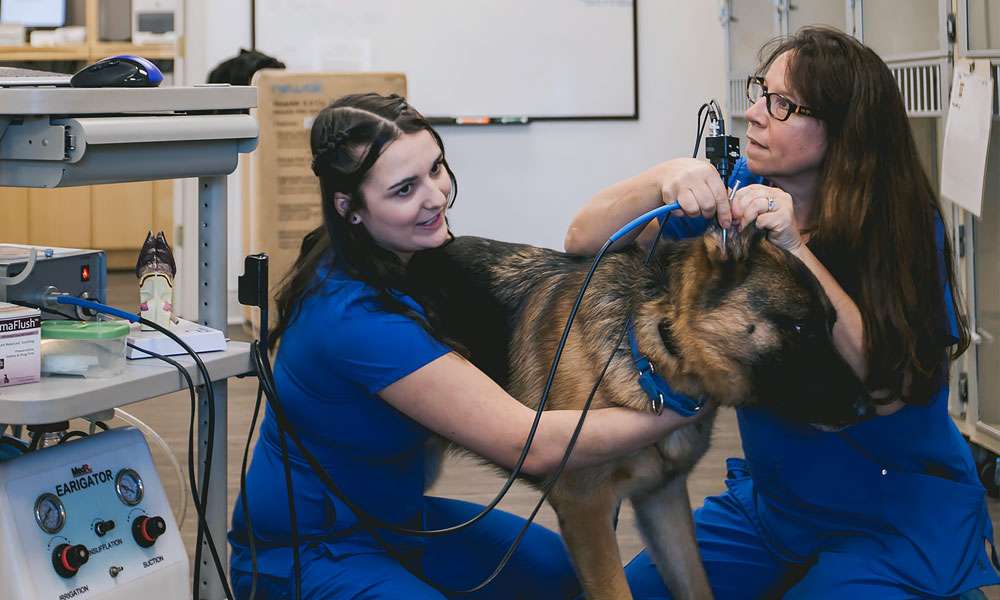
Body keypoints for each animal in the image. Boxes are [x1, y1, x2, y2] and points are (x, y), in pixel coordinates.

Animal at [410, 226, 872, 600]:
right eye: (799, 327)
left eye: (832, 324)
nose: (868, 405)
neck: (652, 350)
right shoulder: (586, 511)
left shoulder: (663, 498)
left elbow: (696, 584)